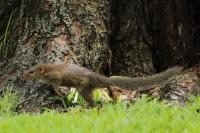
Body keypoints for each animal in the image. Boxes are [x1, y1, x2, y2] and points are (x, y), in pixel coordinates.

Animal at [21, 62, 183, 106]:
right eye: (27, 69)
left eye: (31, 72)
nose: (22, 76)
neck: (48, 68)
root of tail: (101, 78)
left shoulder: (57, 76)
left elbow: (55, 84)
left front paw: (58, 91)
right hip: (97, 86)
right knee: (107, 86)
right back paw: (111, 94)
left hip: (83, 87)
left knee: (93, 100)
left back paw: (90, 106)